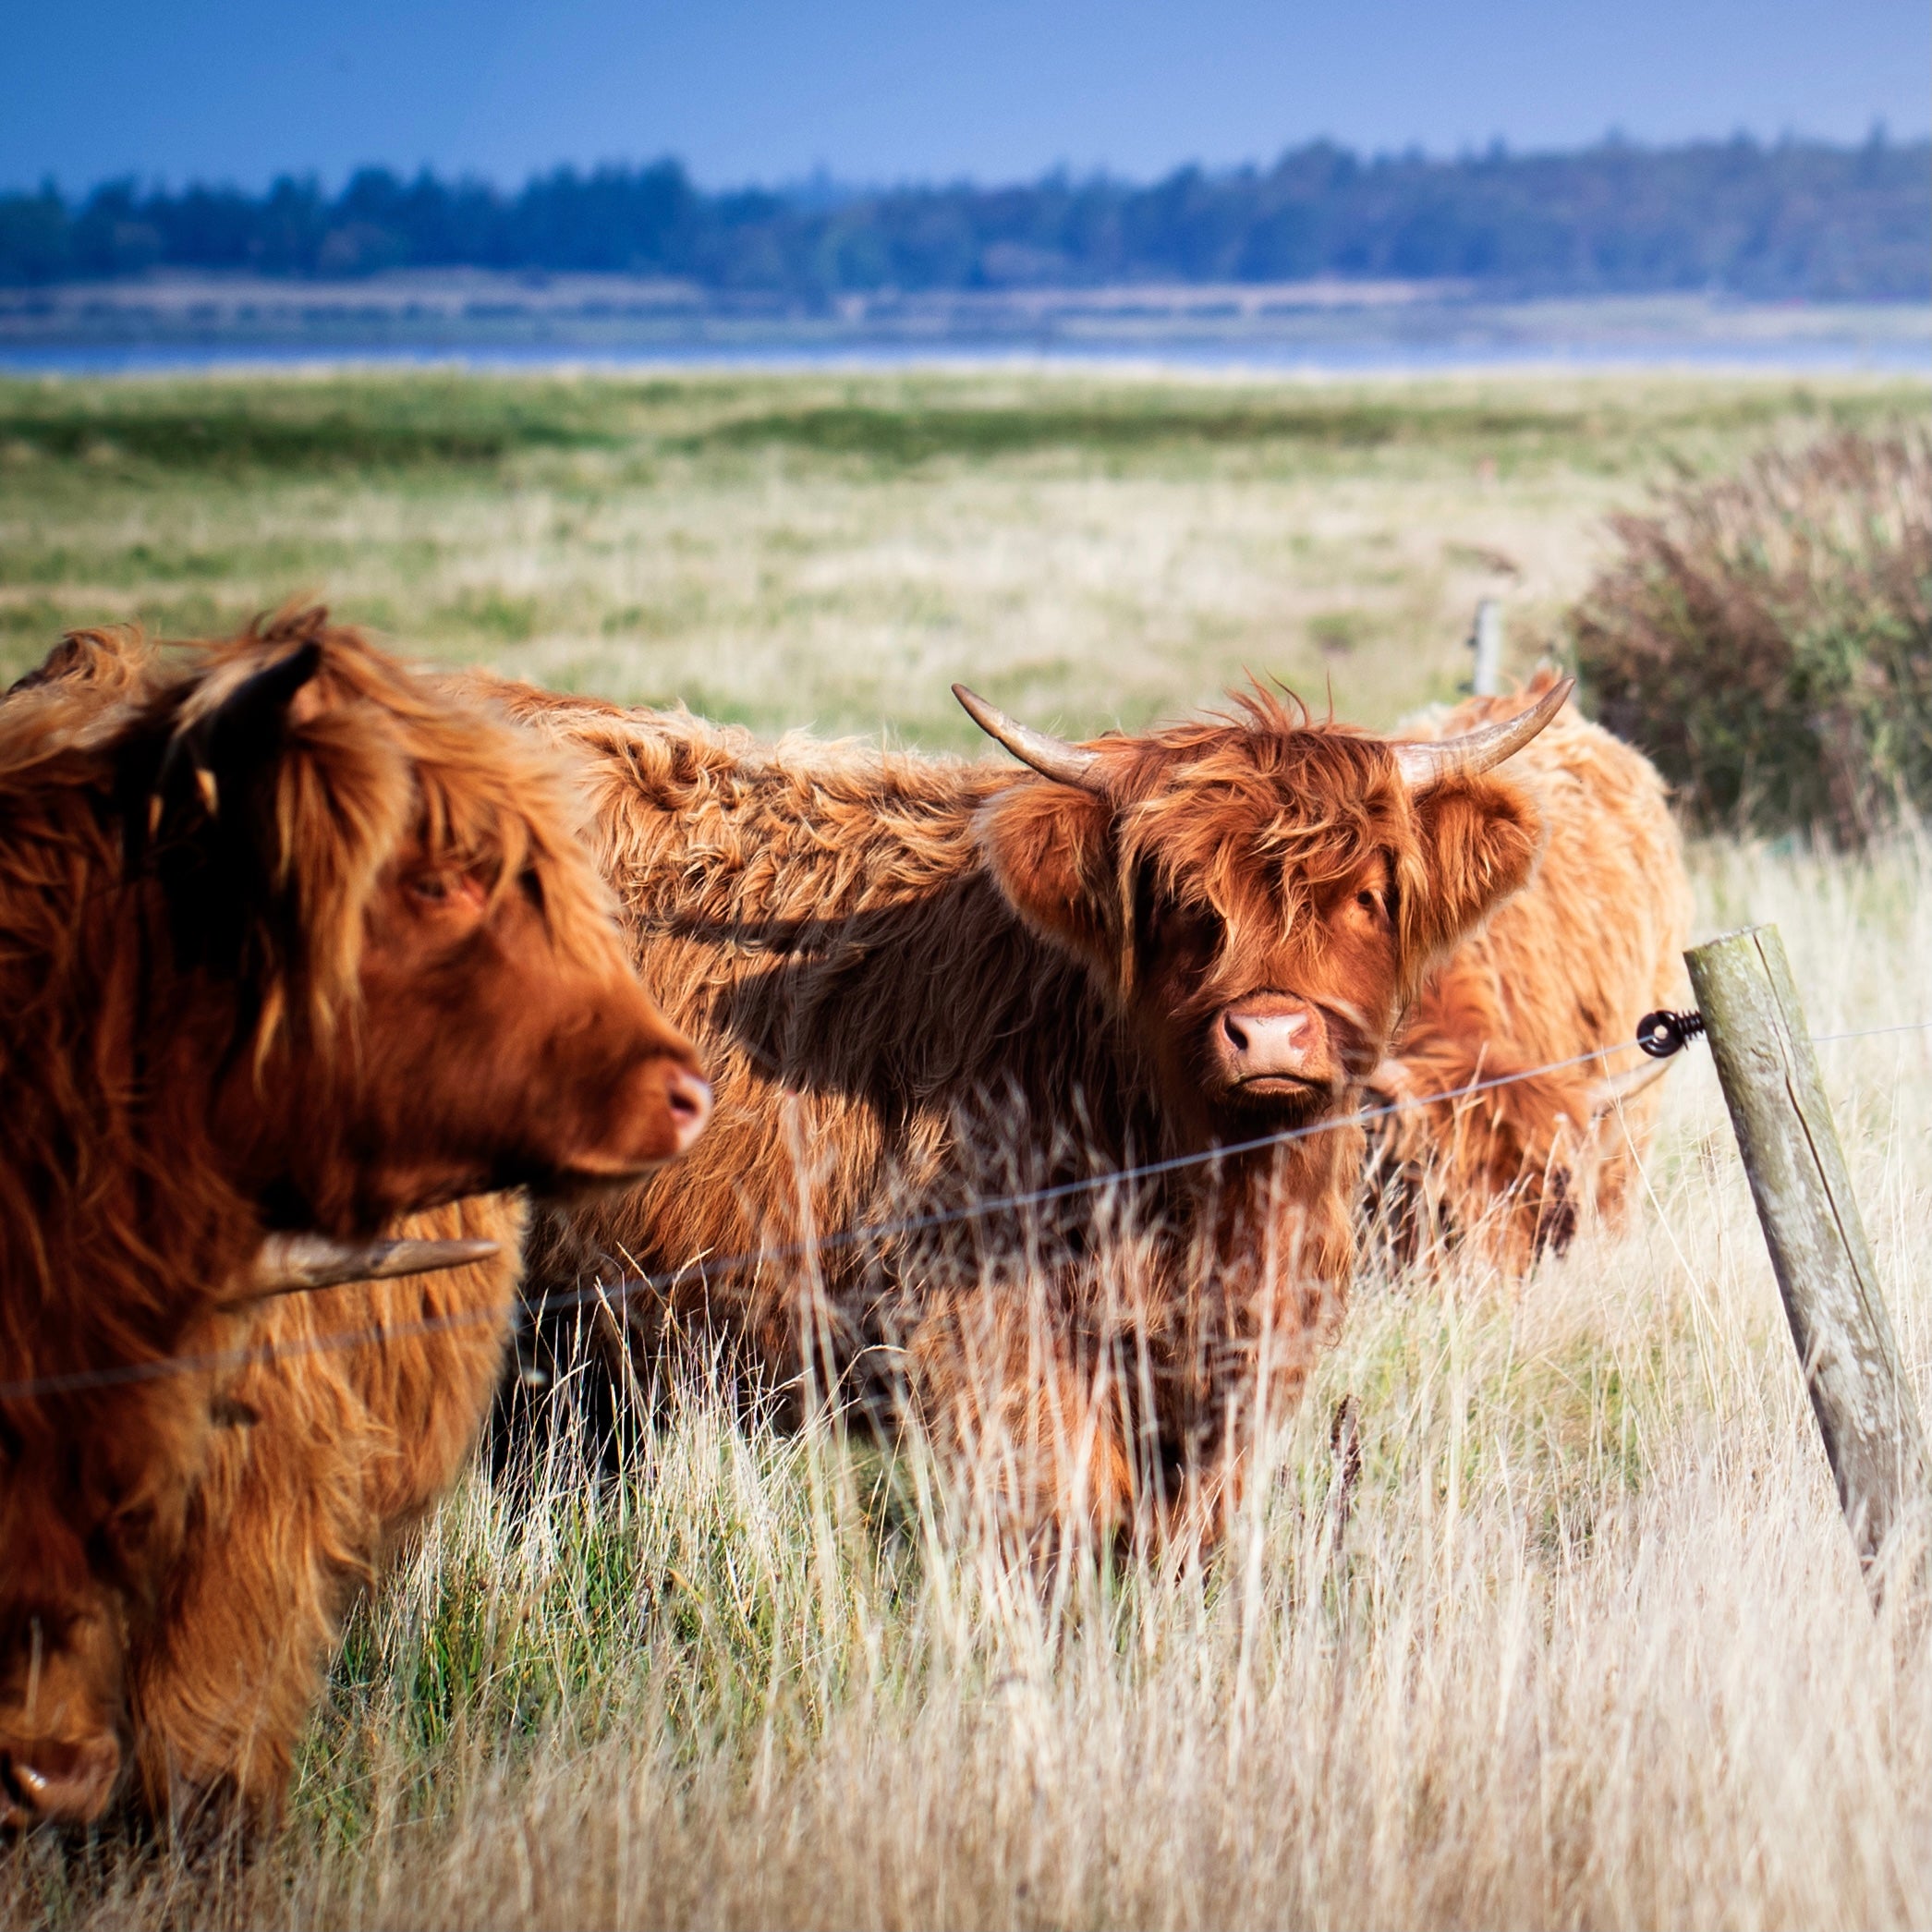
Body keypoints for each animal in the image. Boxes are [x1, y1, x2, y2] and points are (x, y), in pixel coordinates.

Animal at [502, 672, 1568, 1545]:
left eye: (1366, 897)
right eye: (1183, 901)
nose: (1268, 1034)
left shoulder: (1241, 1359)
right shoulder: (987, 1333)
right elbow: (1070, 1517)